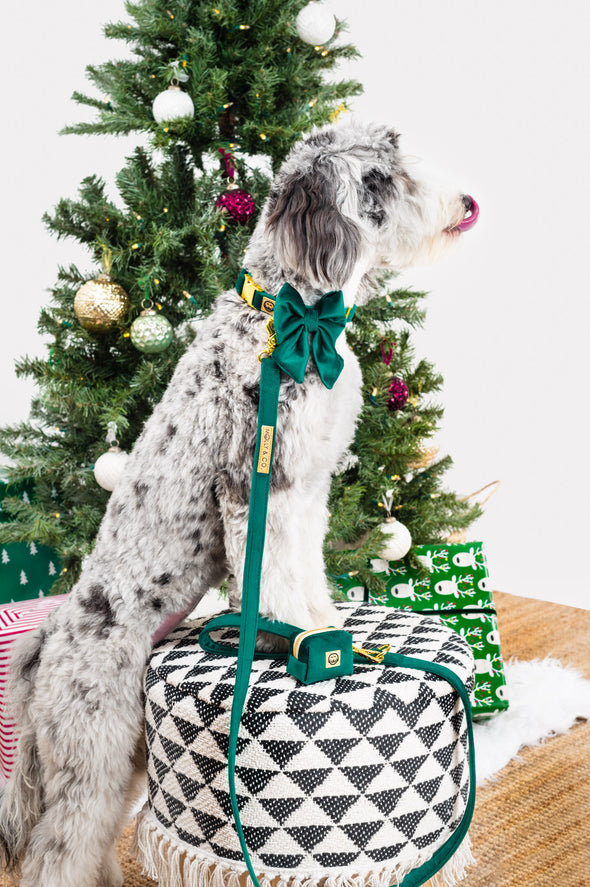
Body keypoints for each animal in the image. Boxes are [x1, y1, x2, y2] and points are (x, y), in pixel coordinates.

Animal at [0, 119, 476, 887]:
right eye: (379, 179)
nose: (466, 202)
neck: (289, 320)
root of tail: (47, 641)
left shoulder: (308, 487)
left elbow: (307, 572)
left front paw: (324, 626)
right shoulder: (260, 487)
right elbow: (276, 577)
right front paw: (293, 635)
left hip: (123, 753)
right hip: (91, 746)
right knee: (58, 851)